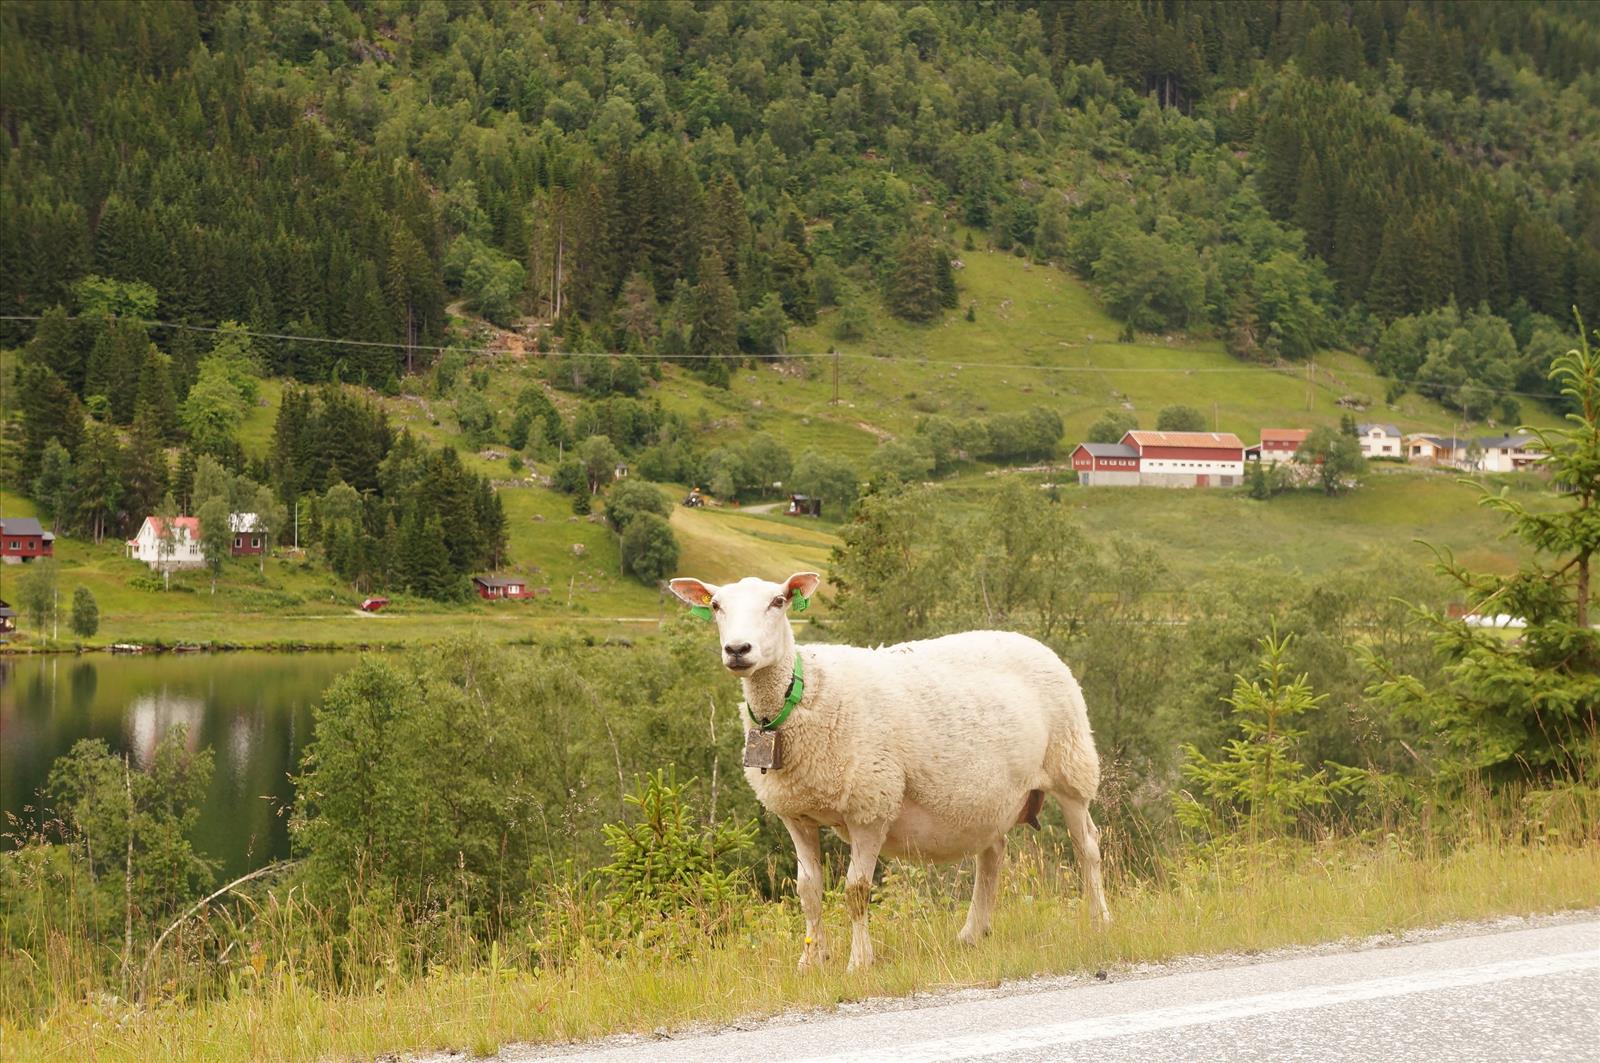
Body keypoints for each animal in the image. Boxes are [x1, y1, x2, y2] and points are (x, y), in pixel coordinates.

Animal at [665, 573, 1113, 973]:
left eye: (778, 601)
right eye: (716, 605)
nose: (738, 649)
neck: (803, 691)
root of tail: (1031, 640)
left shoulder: (870, 807)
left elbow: (856, 891)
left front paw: (858, 962)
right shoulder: (796, 814)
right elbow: (808, 891)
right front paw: (811, 961)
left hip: (1070, 765)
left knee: (1087, 846)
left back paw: (1099, 920)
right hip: (991, 795)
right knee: (992, 854)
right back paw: (973, 932)